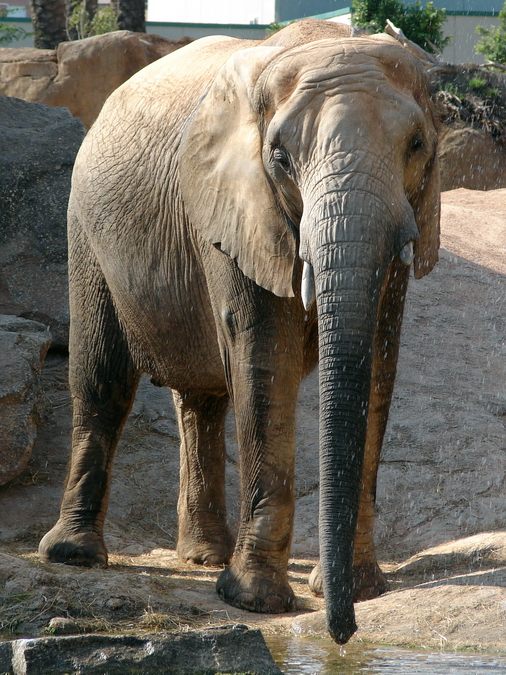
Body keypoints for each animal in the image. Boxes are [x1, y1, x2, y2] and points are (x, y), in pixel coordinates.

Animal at [39, 19, 440, 644]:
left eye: (418, 145)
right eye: (279, 156)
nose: (342, 635)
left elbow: (377, 359)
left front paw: (361, 590)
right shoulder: (238, 207)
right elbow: (264, 358)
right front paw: (255, 602)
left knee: (202, 398)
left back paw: (204, 556)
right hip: (85, 229)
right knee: (103, 380)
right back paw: (74, 555)